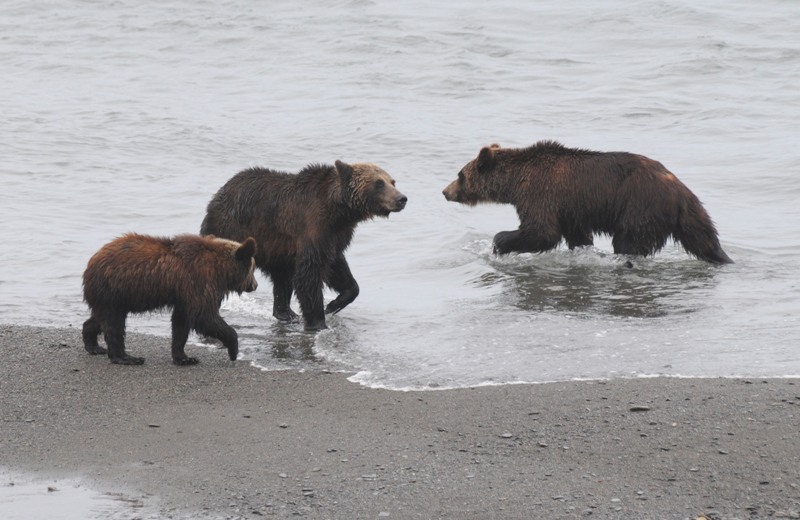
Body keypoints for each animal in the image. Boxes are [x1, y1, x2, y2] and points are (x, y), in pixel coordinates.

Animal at [81, 234, 258, 364]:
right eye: (253, 268)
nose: (255, 285)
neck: (220, 270)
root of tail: (91, 262)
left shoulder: (184, 294)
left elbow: (182, 322)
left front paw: (185, 357)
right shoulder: (199, 282)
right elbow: (204, 317)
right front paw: (233, 349)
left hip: (113, 297)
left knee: (101, 318)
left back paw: (94, 345)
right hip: (113, 289)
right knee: (114, 324)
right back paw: (127, 357)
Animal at [200, 159, 406, 330]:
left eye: (392, 181)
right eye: (379, 183)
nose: (402, 198)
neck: (340, 211)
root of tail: (218, 194)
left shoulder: (334, 237)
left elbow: (337, 267)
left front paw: (333, 304)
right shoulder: (313, 226)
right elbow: (309, 274)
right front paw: (318, 321)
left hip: (277, 250)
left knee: (282, 278)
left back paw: (286, 313)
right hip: (233, 229)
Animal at [440, 140, 736, 264]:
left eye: (460, 175)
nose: (445, 191)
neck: (515, 181)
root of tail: (678, 188)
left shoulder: (541, 193)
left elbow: (541, 231)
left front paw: (499, 242)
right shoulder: (571, 210)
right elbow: (576, 235)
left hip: (640, 205)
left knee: (629, 241)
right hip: (687, 213)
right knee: (702, 237)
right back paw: (722, 257)